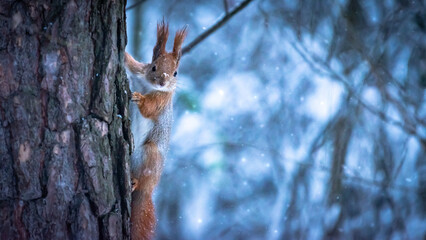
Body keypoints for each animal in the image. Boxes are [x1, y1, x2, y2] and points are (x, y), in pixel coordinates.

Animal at [125, 21, 188, 240]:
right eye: (153, 66)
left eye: (176, 73)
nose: (162, 81)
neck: (149, 86)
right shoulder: (137, 71)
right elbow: (130, 62)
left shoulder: (162, 101)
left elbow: (149, 108)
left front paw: (139, 98)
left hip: (150, 155)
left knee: (143, 179)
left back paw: (136, 181)